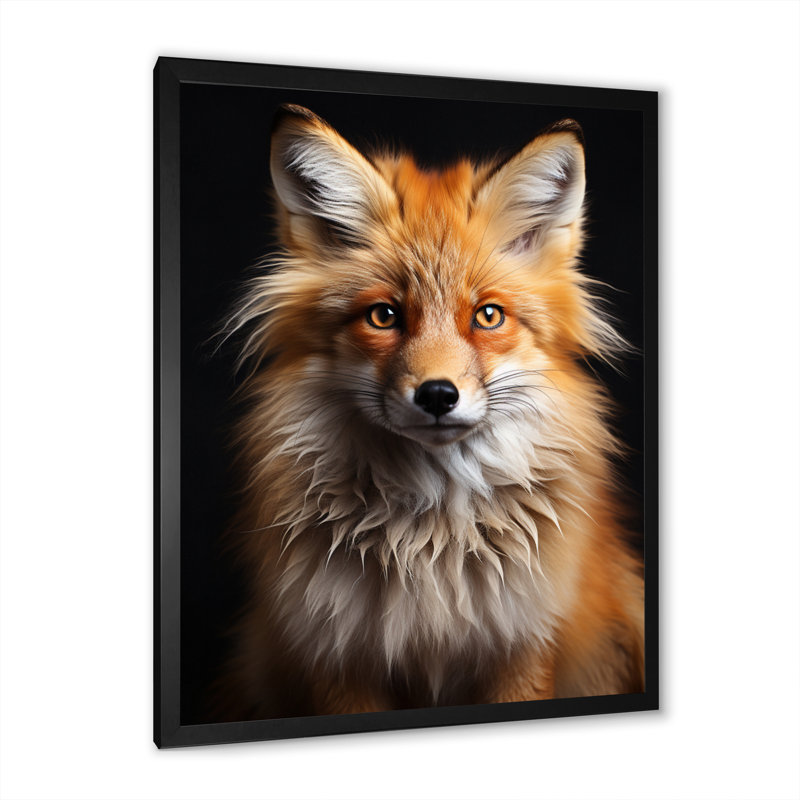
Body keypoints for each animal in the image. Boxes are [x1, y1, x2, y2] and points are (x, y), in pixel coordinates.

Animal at [215, 104, 644, 719]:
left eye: (488, 316)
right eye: (384, 316)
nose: (438, 395)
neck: (431, 542)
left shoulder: (522, 645)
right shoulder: (337, 652)